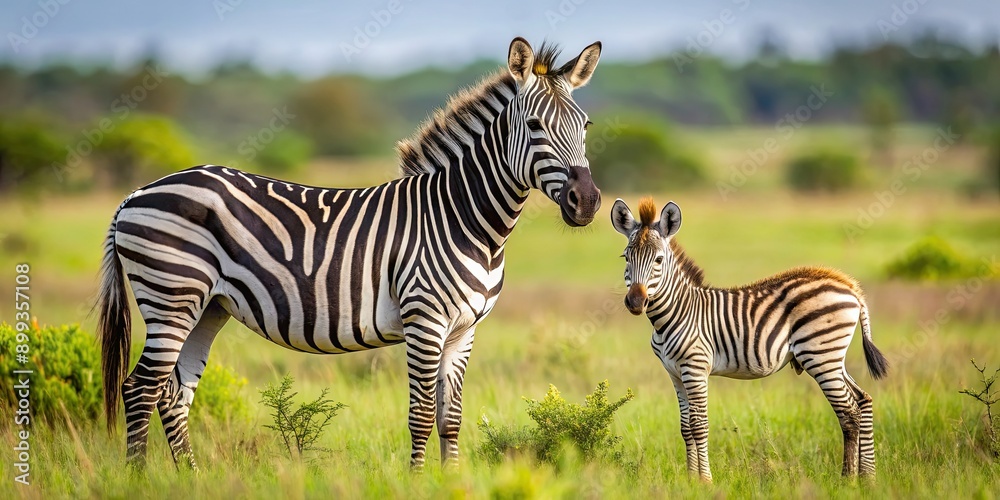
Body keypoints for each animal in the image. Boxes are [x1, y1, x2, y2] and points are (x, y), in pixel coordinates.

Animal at [95, 37, 603, 470]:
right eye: (534, 126)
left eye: (585, 126)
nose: (587, 202)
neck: (465, 219)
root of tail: (136, 194)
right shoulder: (424, 318)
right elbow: (421, 415)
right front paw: (418, 483)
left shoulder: (464, 330)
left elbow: (450, 418)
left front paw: (452, 481)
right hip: (171, 294)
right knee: (140, 389)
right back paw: (140, 479)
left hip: (207, 306)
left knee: (171, 395)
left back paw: (191, 477)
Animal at [610, 198, 889, 481]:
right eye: (626, 257)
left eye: (658, 259)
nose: (636, 302)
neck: (677, 313)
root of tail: (848, 285)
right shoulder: (674, 373)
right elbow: (685, 427)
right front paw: (690, 480)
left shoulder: (695, 368)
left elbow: (699, 425)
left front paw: (705, 481)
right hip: (833, 357)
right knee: (863, 400)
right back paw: (868, 477)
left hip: (821, 356)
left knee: (849, 412)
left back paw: (848, 479)